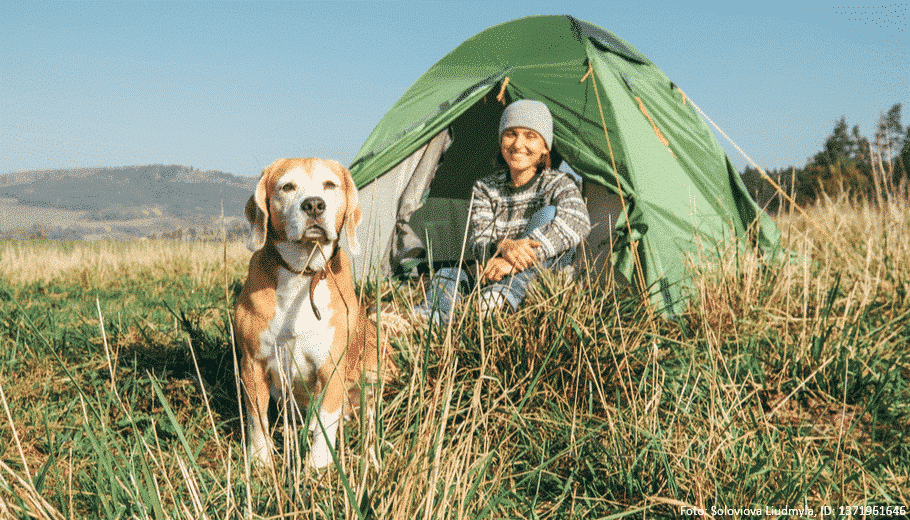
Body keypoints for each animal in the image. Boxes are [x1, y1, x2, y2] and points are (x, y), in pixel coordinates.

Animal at [235, 156, 392, 470]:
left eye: (330, 184)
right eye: (287, 187)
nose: (314, 205)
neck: (302, 273)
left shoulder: (331, 367)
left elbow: (326, 422)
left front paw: (319, 466)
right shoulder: (252, 364)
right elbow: (257, 420)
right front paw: (260, 462)